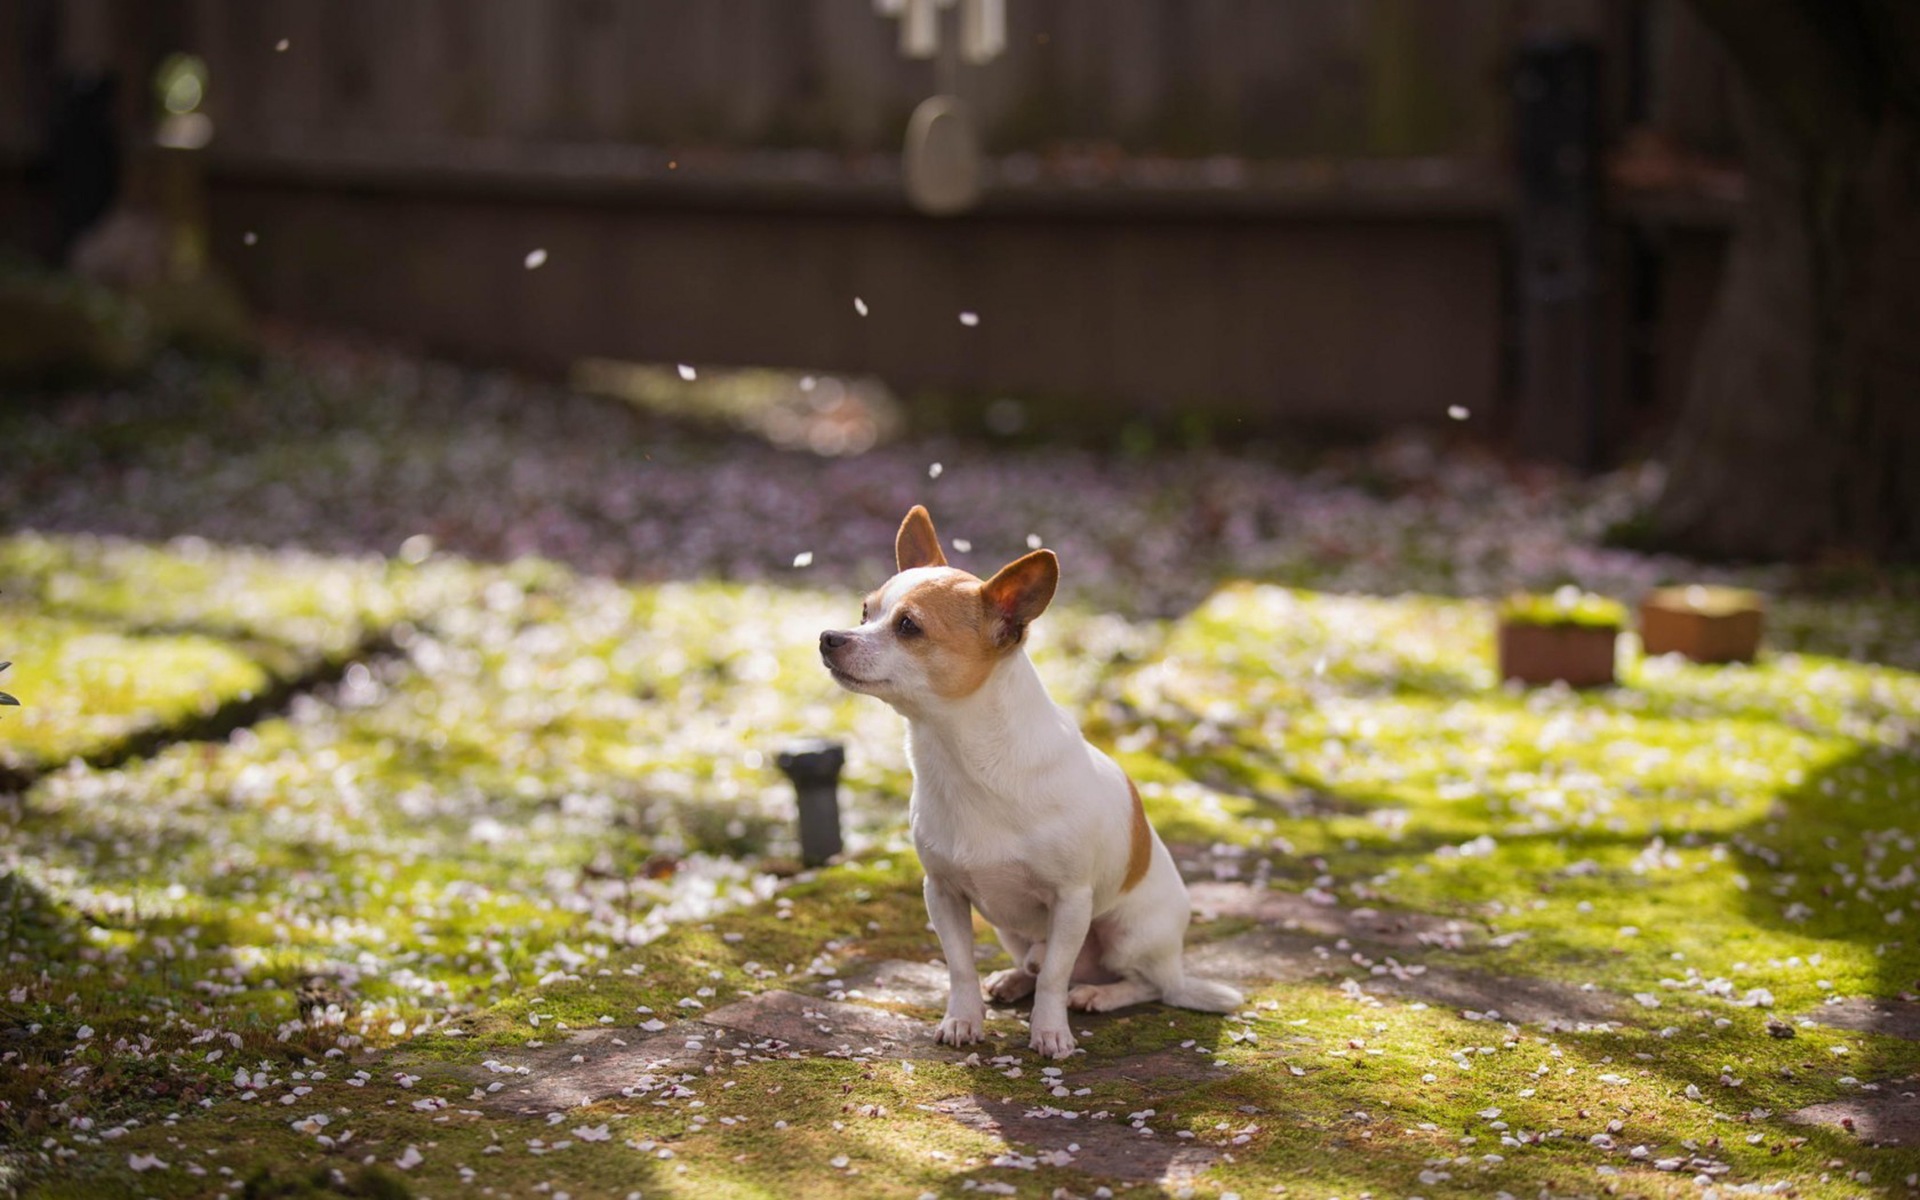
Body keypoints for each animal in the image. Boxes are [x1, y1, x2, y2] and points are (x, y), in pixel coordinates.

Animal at [821, 506, 1244, 1059]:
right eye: (864, 612)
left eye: (908, 626)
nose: (829, 637)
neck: (966, 761)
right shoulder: (943, 894)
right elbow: (960, 966)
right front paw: (963, 1019)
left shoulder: (1071, 901)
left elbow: (1056, 979)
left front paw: (1050, 1031)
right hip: (1013, 932)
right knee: (1038, 962)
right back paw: (1015, 978)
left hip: (1128, 933)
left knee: (1144, 984)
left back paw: (1099, 995)